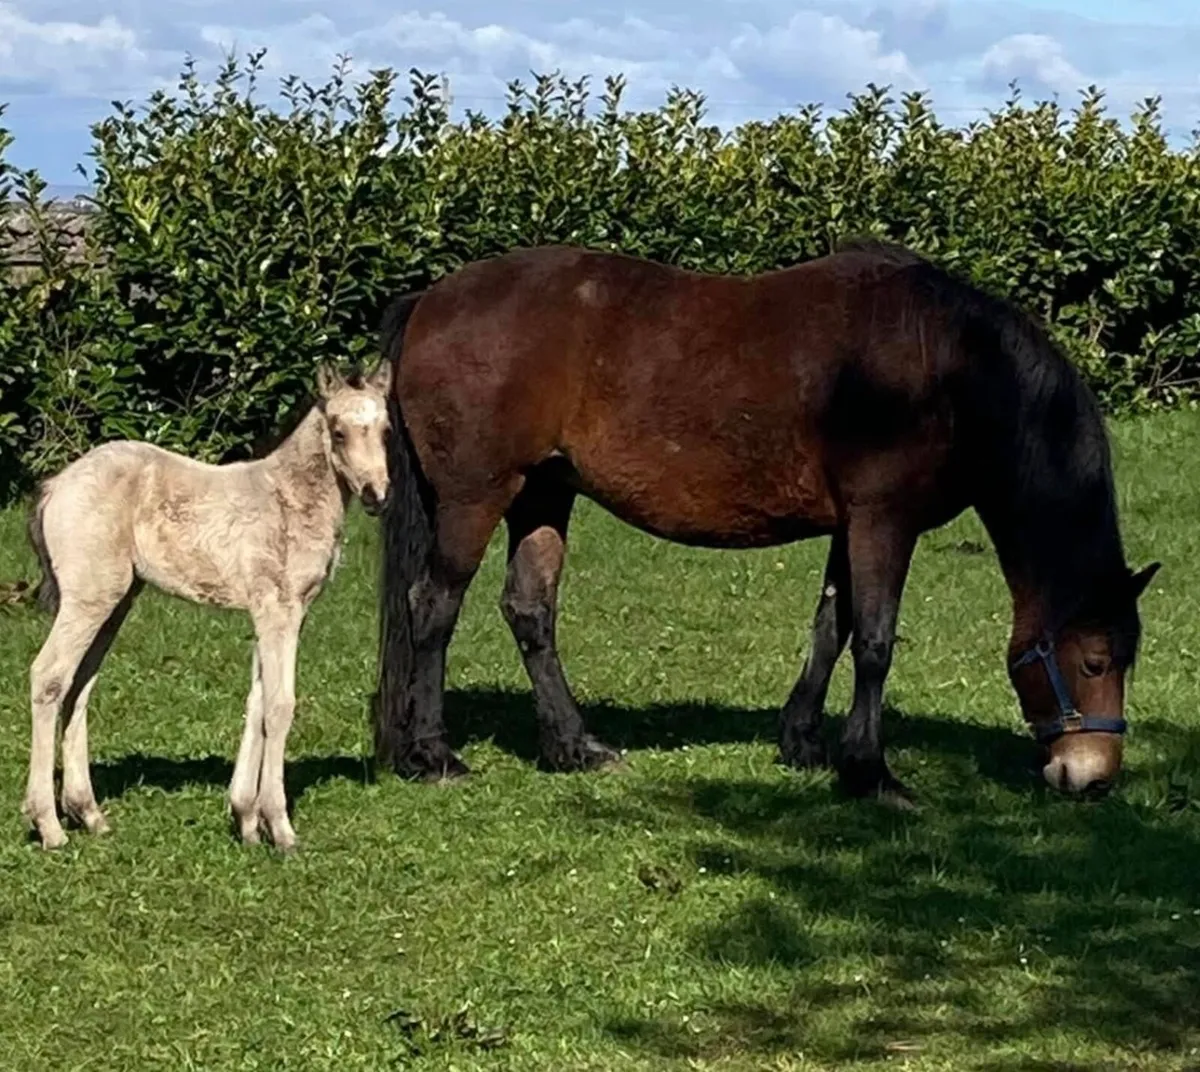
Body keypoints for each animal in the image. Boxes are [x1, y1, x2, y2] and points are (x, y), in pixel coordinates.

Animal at [22, 361, 393, 851]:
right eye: (338, 432)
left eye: (386, 431)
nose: (376, 495)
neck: (288, 498)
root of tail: (55, 485)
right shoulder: (279, 609)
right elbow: (280, 705)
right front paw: (280, 827)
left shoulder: (276, 612)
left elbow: (257, 702)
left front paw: (246, 820)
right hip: (89, 598)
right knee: (49, 677)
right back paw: (49, 825)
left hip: (116, 601)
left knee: (79, 684)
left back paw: (88, 814)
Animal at [370, 239, 1159, 804]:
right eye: (1093, 661)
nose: (1092, 776)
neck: (948, 367)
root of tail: (429, 300)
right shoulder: (884, 519)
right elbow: (874, 642)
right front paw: (870, 772)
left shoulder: (849, 525)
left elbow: (832, 626)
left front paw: (804, 743)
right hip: (477, 497)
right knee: (432, 607)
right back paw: (434, 754)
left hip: (542, 495)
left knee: (529, 610)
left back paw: (575, 748)